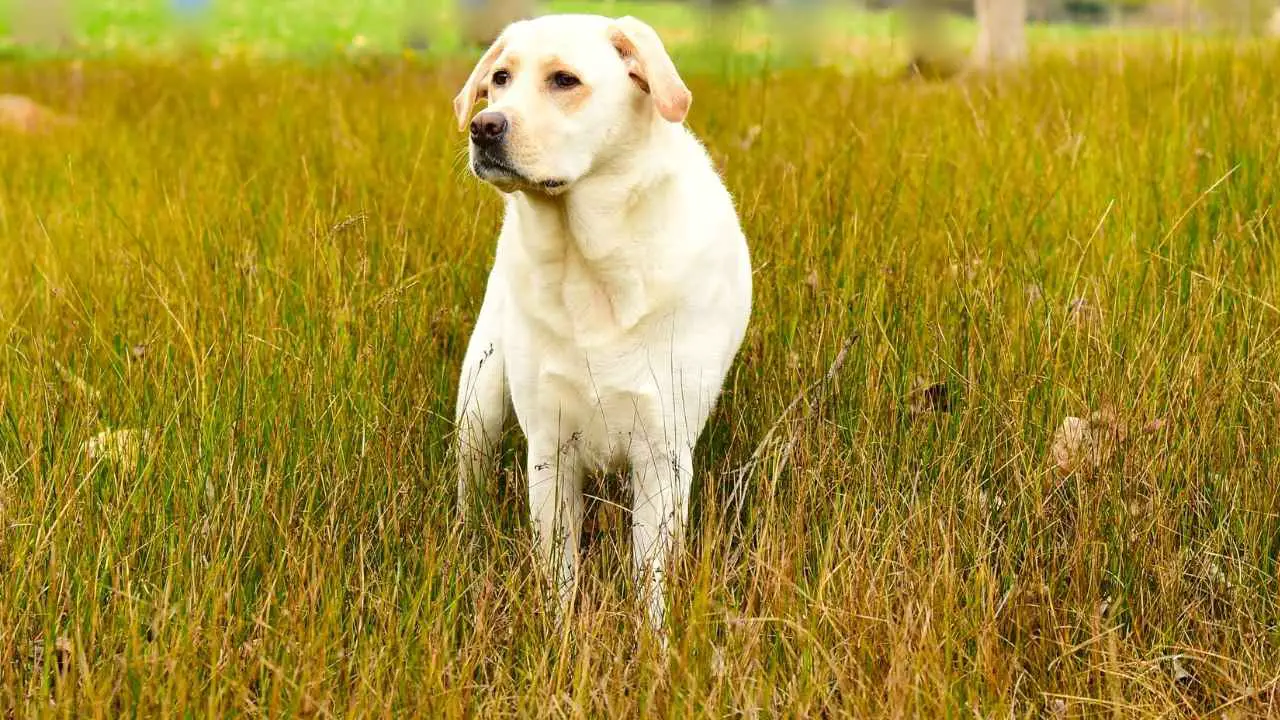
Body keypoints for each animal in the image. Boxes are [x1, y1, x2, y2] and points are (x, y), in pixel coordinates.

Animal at [450, 9, 747, 627]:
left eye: (564, 80)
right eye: (500, 79)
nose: (483, 126)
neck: (588, 264)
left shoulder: (663, 453)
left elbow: (649, 583)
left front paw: (653, 645)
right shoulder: (549, 449)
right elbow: (559, 576)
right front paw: (559, 638)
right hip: (478, 403)